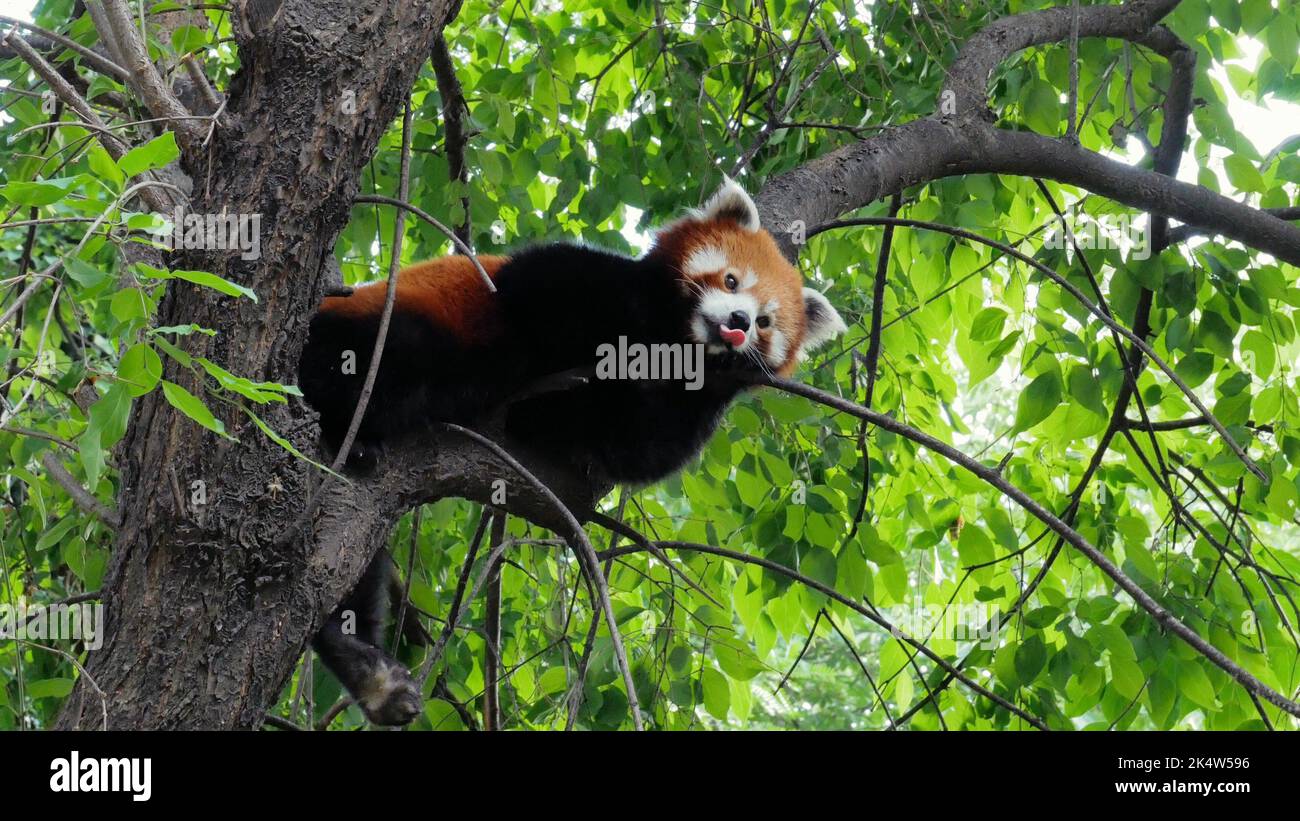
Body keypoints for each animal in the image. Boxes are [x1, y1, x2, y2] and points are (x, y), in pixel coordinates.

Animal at [297, 179, 846, 724]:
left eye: (766, 322)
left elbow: (638, 448)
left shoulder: (674, 412)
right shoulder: (569, 280)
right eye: (732, 281)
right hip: (389, 328)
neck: (675, 341)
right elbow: (548, 302)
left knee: (347, 574)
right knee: (376, 363)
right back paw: (351, 430)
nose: (738, 321)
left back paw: (368, 671)